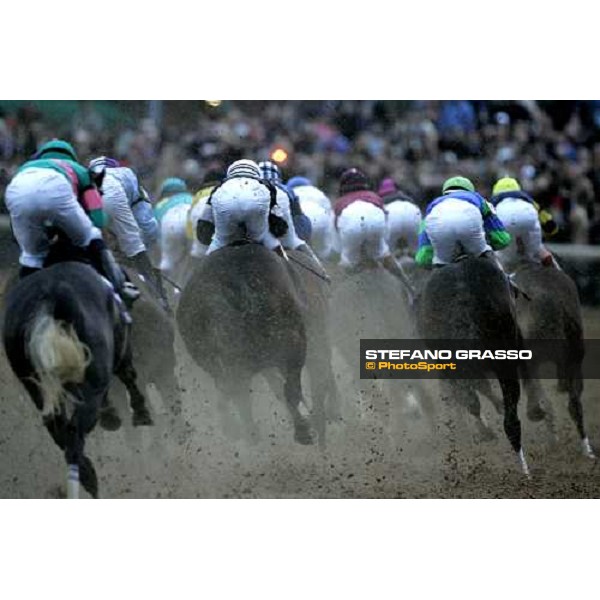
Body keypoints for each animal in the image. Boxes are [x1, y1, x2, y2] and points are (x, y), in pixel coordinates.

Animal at [2, 260, 152, 500]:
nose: (135, 288)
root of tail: (46, 302)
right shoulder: (121, 351)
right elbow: (128, 375)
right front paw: (139, 412)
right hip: (93, 380)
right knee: (74, 433)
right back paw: (87, 477)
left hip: (36, 387)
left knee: (56, 428)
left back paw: (87, 474)